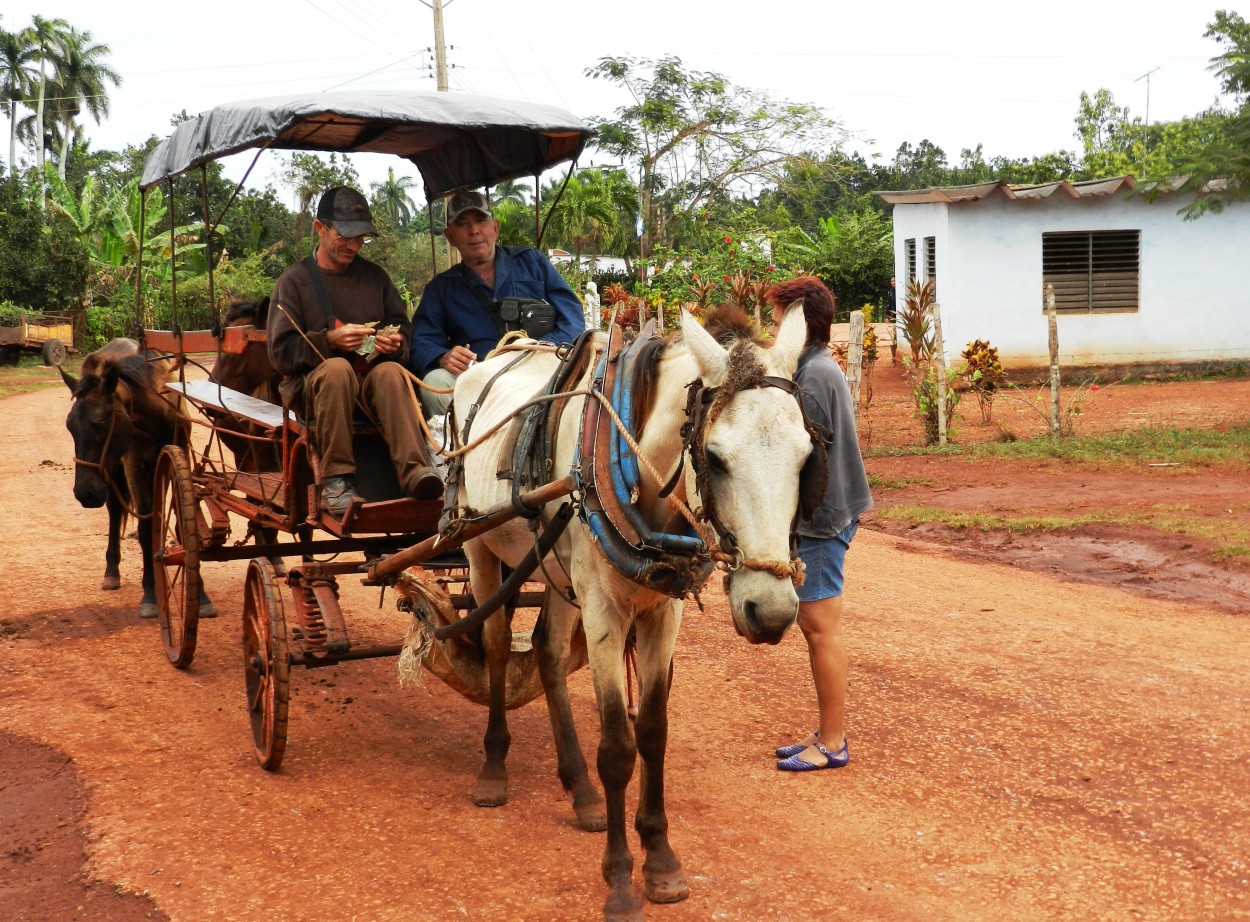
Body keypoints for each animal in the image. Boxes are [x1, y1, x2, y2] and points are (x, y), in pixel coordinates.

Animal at [61, 337, 217, 617]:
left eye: (100, 424)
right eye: (70, 426)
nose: (84, 493)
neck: (157, 413)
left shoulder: (180, 456)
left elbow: (181, 524)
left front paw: (201, 596)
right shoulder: (134, 463)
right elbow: (145, 529)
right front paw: (150, 594)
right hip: (114, 471)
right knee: (115, 511)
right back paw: (112, 572)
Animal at [450, 307, 810, 914]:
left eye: (807, 455)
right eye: (715, 458)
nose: (773, 610)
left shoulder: (662, 614)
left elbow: (654, 733)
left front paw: (661, 860)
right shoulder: (604, 613)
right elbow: (618, 747)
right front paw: (620, 879)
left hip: (554, 569)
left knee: (547, 652)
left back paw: (581, 791)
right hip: (479, 547)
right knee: (498, 645)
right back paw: (493, 769)